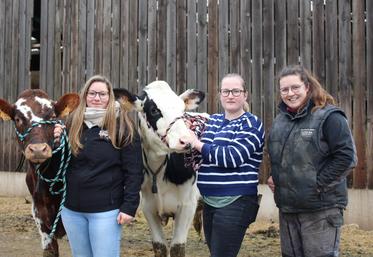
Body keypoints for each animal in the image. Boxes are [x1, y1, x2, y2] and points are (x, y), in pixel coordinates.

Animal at [115, 80, 208, 256]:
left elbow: (177, 247)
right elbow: (160, 246)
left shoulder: (187, 205)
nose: (186, 141)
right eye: (153, 110)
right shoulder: (148, 207)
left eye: (182, 110)